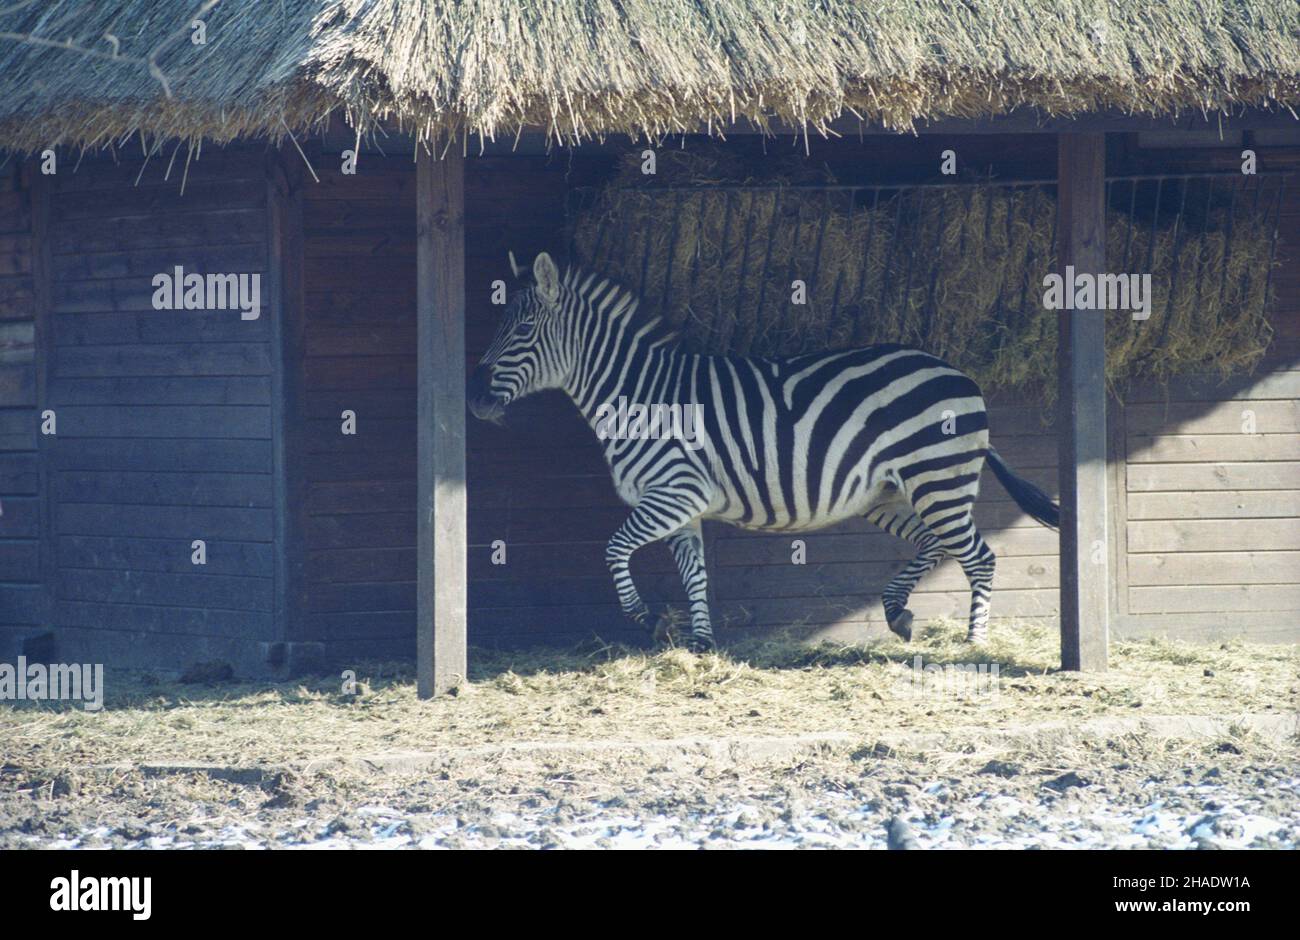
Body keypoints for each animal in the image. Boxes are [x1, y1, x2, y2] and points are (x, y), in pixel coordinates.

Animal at [467, 253, 1055, 650]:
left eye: (522, 328)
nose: (474, 399)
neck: (637, 393)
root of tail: (960, 374)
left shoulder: (674, 492)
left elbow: (613, 549)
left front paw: (650, 620)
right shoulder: (681, 504)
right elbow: (694, 572)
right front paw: (701, 645)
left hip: (937, 480)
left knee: (978, 555)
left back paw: (974, 644)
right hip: (890, 493)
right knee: (937, 545)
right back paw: (897, 614)